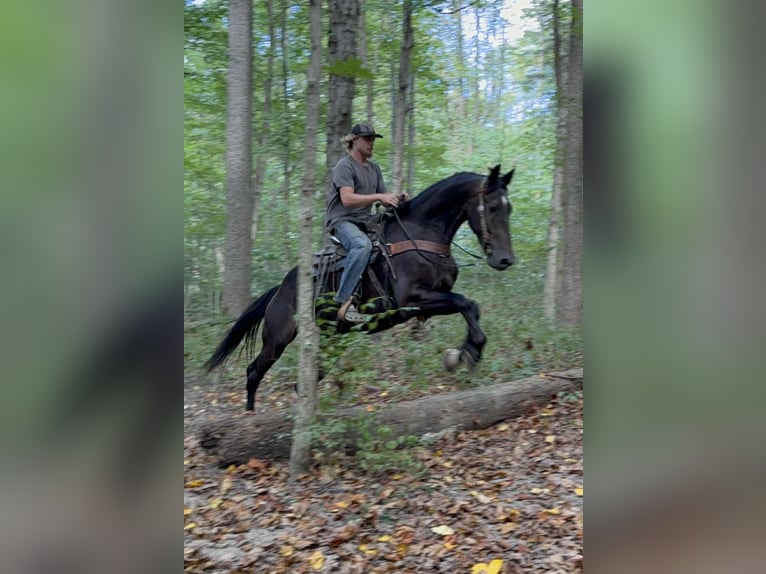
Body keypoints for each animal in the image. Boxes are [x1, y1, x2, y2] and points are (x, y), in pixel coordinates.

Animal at [205, 164, 515, 411]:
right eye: (492, 207)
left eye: (508, 208)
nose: (505, 260)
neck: (421, 235)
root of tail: (279, 290)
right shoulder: (411, 300)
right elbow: (465, 302)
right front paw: (467, 354)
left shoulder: (428, 303)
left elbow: (470, 307)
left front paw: (463, 353)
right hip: (278, 337)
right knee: (253, 372)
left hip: (332, 337)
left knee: (304, 381)